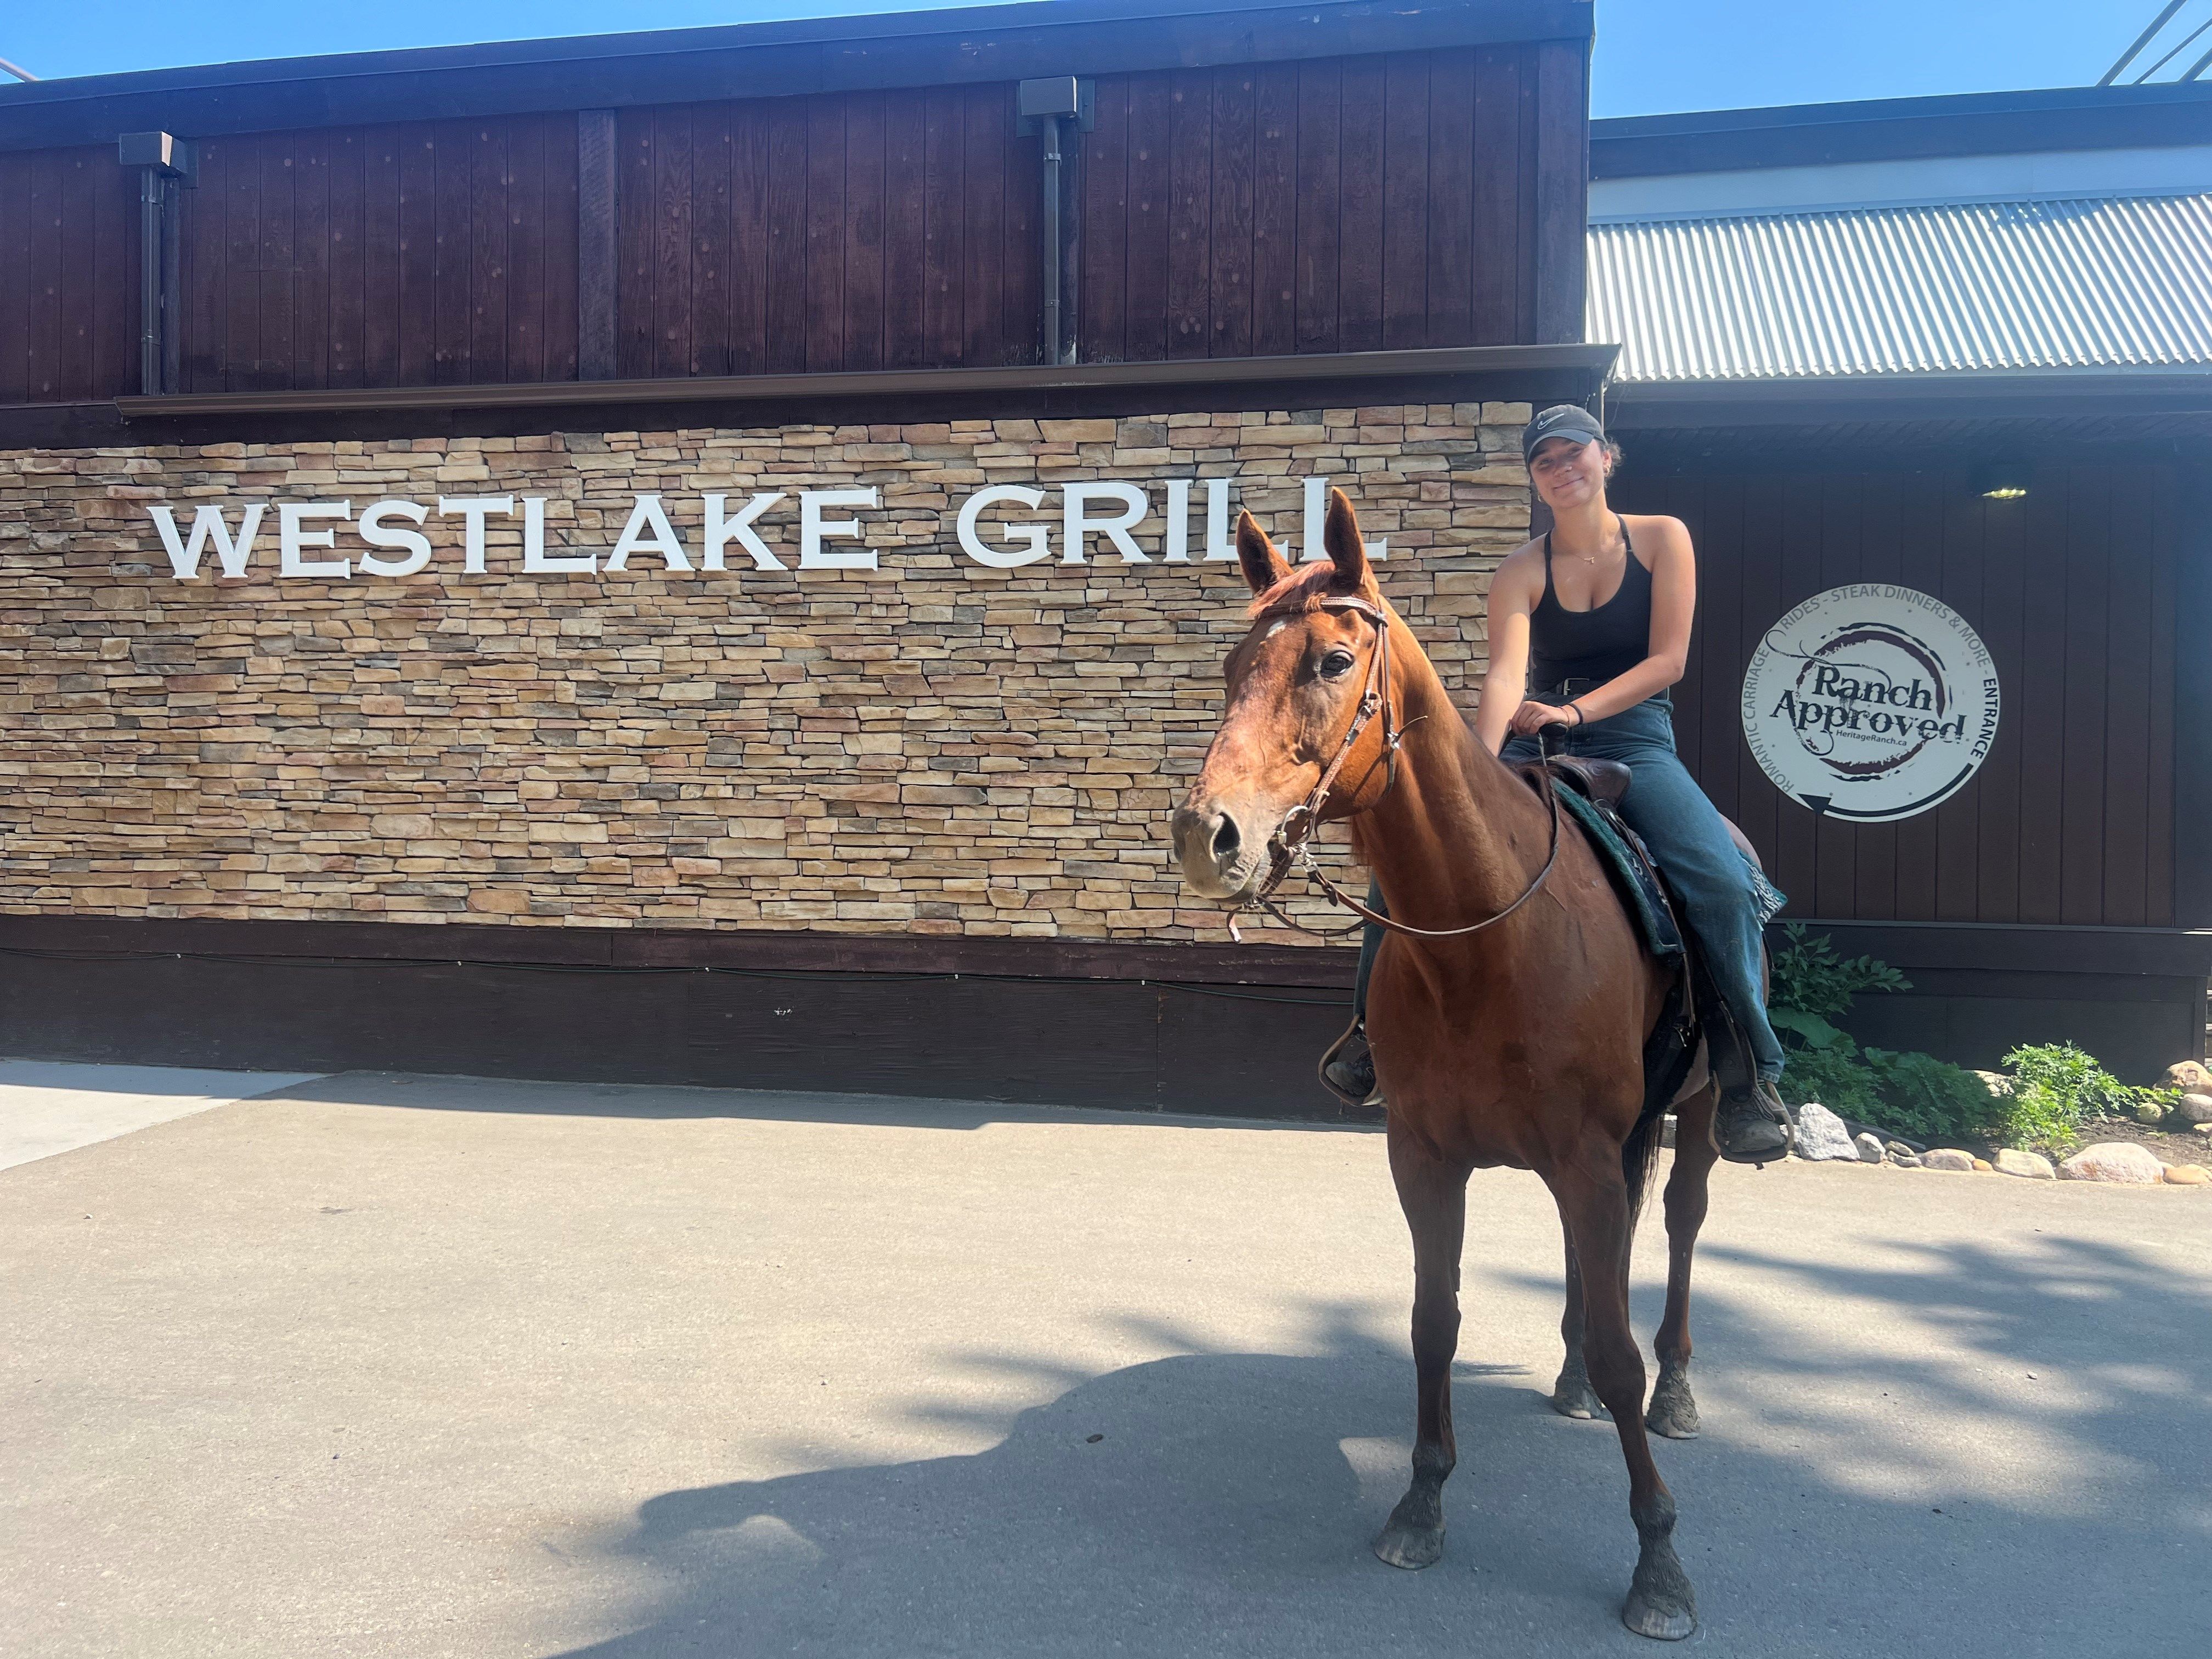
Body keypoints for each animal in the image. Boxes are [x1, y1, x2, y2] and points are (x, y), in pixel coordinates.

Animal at [1167, 491, 1716, 1637]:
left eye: (1333, 660)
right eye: (1233, 664)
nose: (1206, 833)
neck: (1489, 936)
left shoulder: (1586, 1154)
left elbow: (1621, 1344)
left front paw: (1657, 1560)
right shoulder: (1425, 1154)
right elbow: (1433, 1322)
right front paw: (1418, 1501)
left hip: (1703, 1110)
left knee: (1681, 1224)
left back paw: (1678, 1389)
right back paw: (1569, 1377)